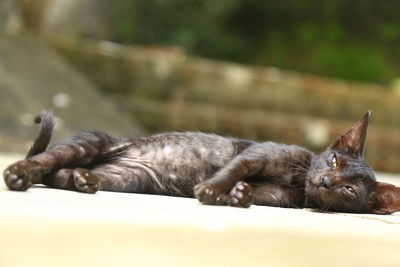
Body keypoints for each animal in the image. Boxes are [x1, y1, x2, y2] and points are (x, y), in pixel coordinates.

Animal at [3, 110, 400, 215]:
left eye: (348, 190)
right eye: (332, 161)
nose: (325, 183)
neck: (299, 183)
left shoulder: (276, 197)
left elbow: (249, 191)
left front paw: (236, 196)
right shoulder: (255, 154)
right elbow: (234, 169)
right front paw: (211, 189)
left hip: (125, 177)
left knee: (57, 174)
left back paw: (81, 180)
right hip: (91, 142)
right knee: (43, 162)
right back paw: (18, 173)